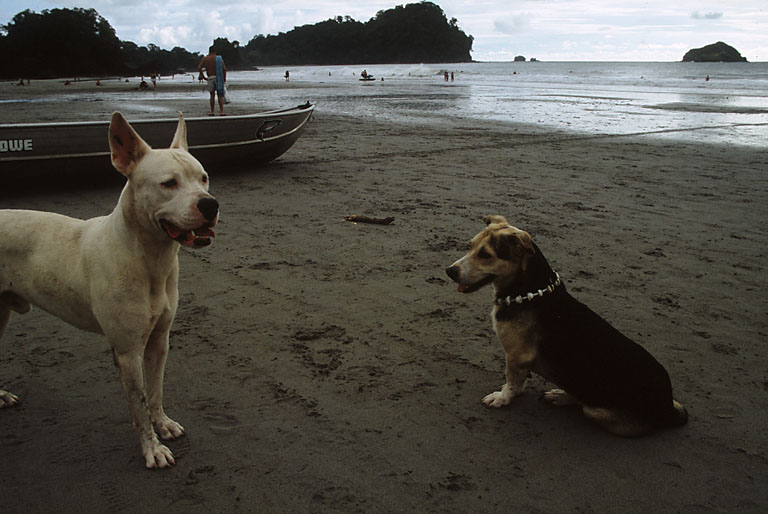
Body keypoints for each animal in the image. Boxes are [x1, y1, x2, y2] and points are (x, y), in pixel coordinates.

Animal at [0, 112, 219, 468]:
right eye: (169, 183)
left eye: (204, 178)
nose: (210, 205)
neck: (148, 259)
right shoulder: (128, 352)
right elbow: (139, 404)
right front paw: (152, 448)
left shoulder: (159, 340)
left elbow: (155, 392)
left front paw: (163, 424)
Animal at [448, 214, 688, 434]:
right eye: (470, 246)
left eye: (485, 255)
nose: (450, 271)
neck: (526, 291)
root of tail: (669, 409)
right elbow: (519, 380)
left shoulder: (517, 354)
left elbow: (513, 380)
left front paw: (503, 397)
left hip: (596, 409)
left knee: (585, 403)